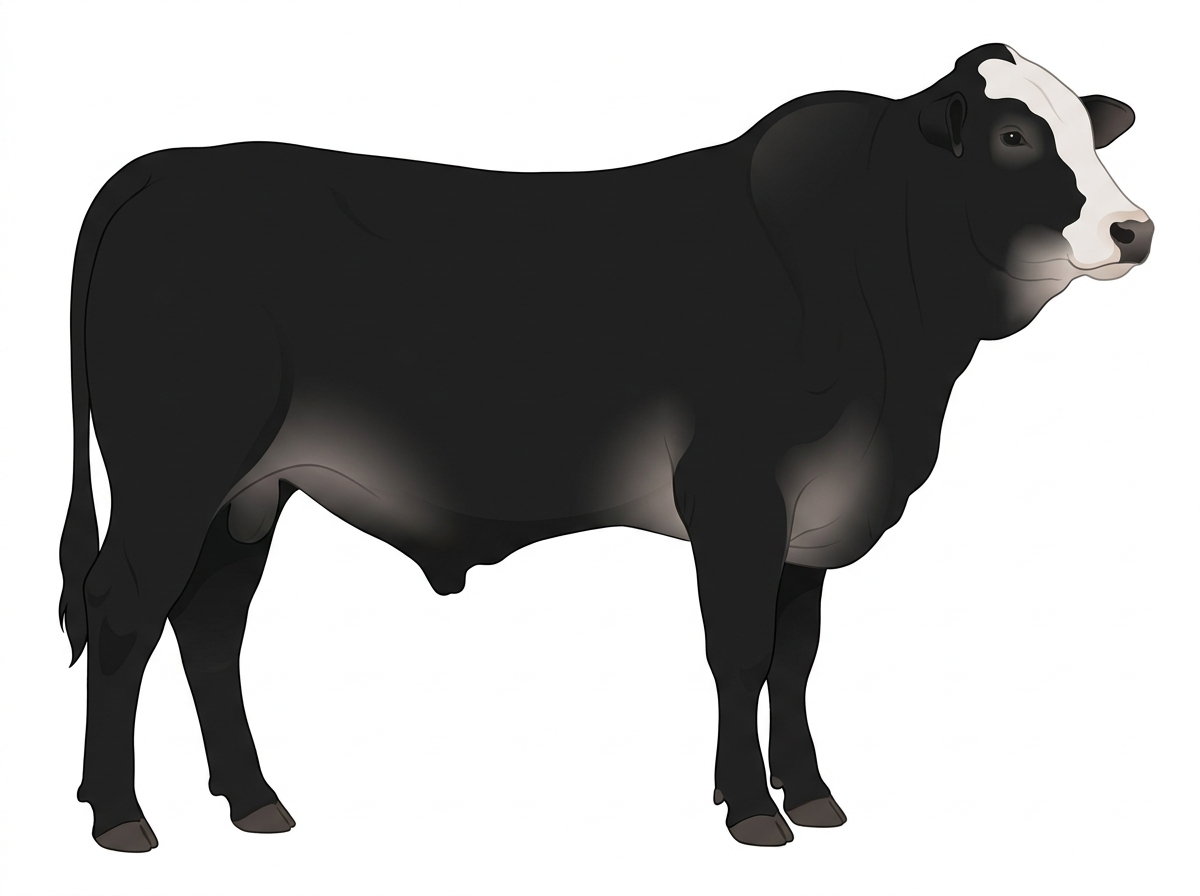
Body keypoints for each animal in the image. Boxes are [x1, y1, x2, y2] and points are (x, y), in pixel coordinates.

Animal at [58, 43, 1152, 851]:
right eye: (1013, 134)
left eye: (1084, 128)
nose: (1133, 228)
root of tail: (167, 166)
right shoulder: (735, 492)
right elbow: (740, 650)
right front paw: (750, 808)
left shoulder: (814, 514)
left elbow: (796, 656)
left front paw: (812, 793)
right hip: (173, 471)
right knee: (125, 612)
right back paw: (119, 815)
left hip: (248, 488)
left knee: (209, 622)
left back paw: (253, 799)